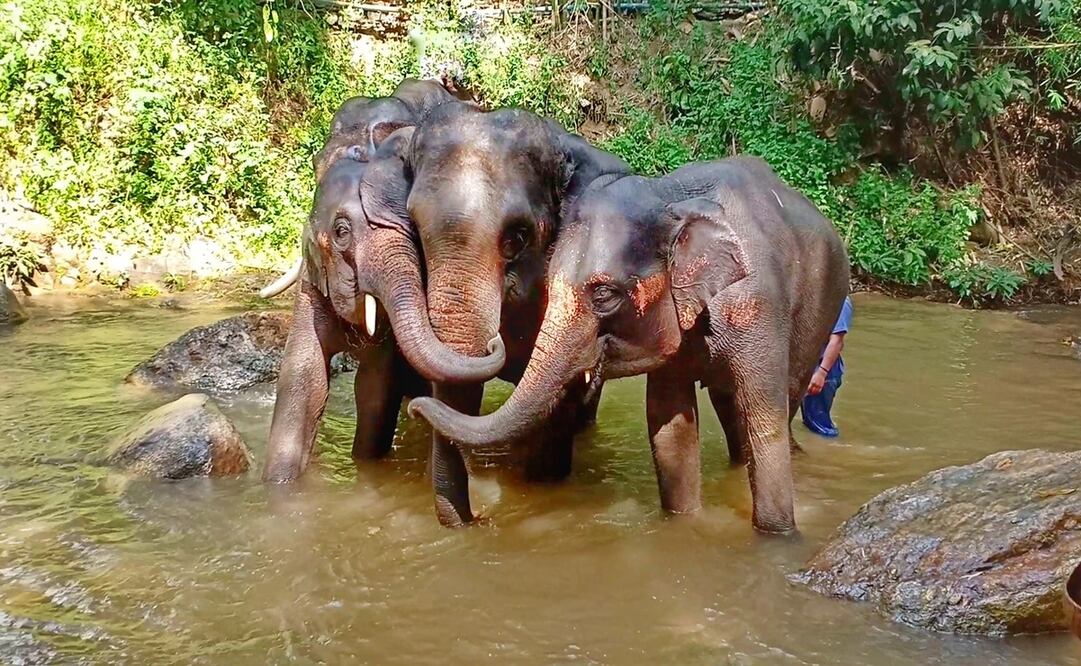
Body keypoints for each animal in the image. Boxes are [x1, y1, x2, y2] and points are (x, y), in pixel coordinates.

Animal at [409, 155, 850, 534]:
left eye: (604, 295)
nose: (414, 408)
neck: (670, 196)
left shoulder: (756, 303)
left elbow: (763, 419)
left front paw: (779, 537)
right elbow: (669, 422)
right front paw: (684, 525)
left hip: (823, 306)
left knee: (784, 398)